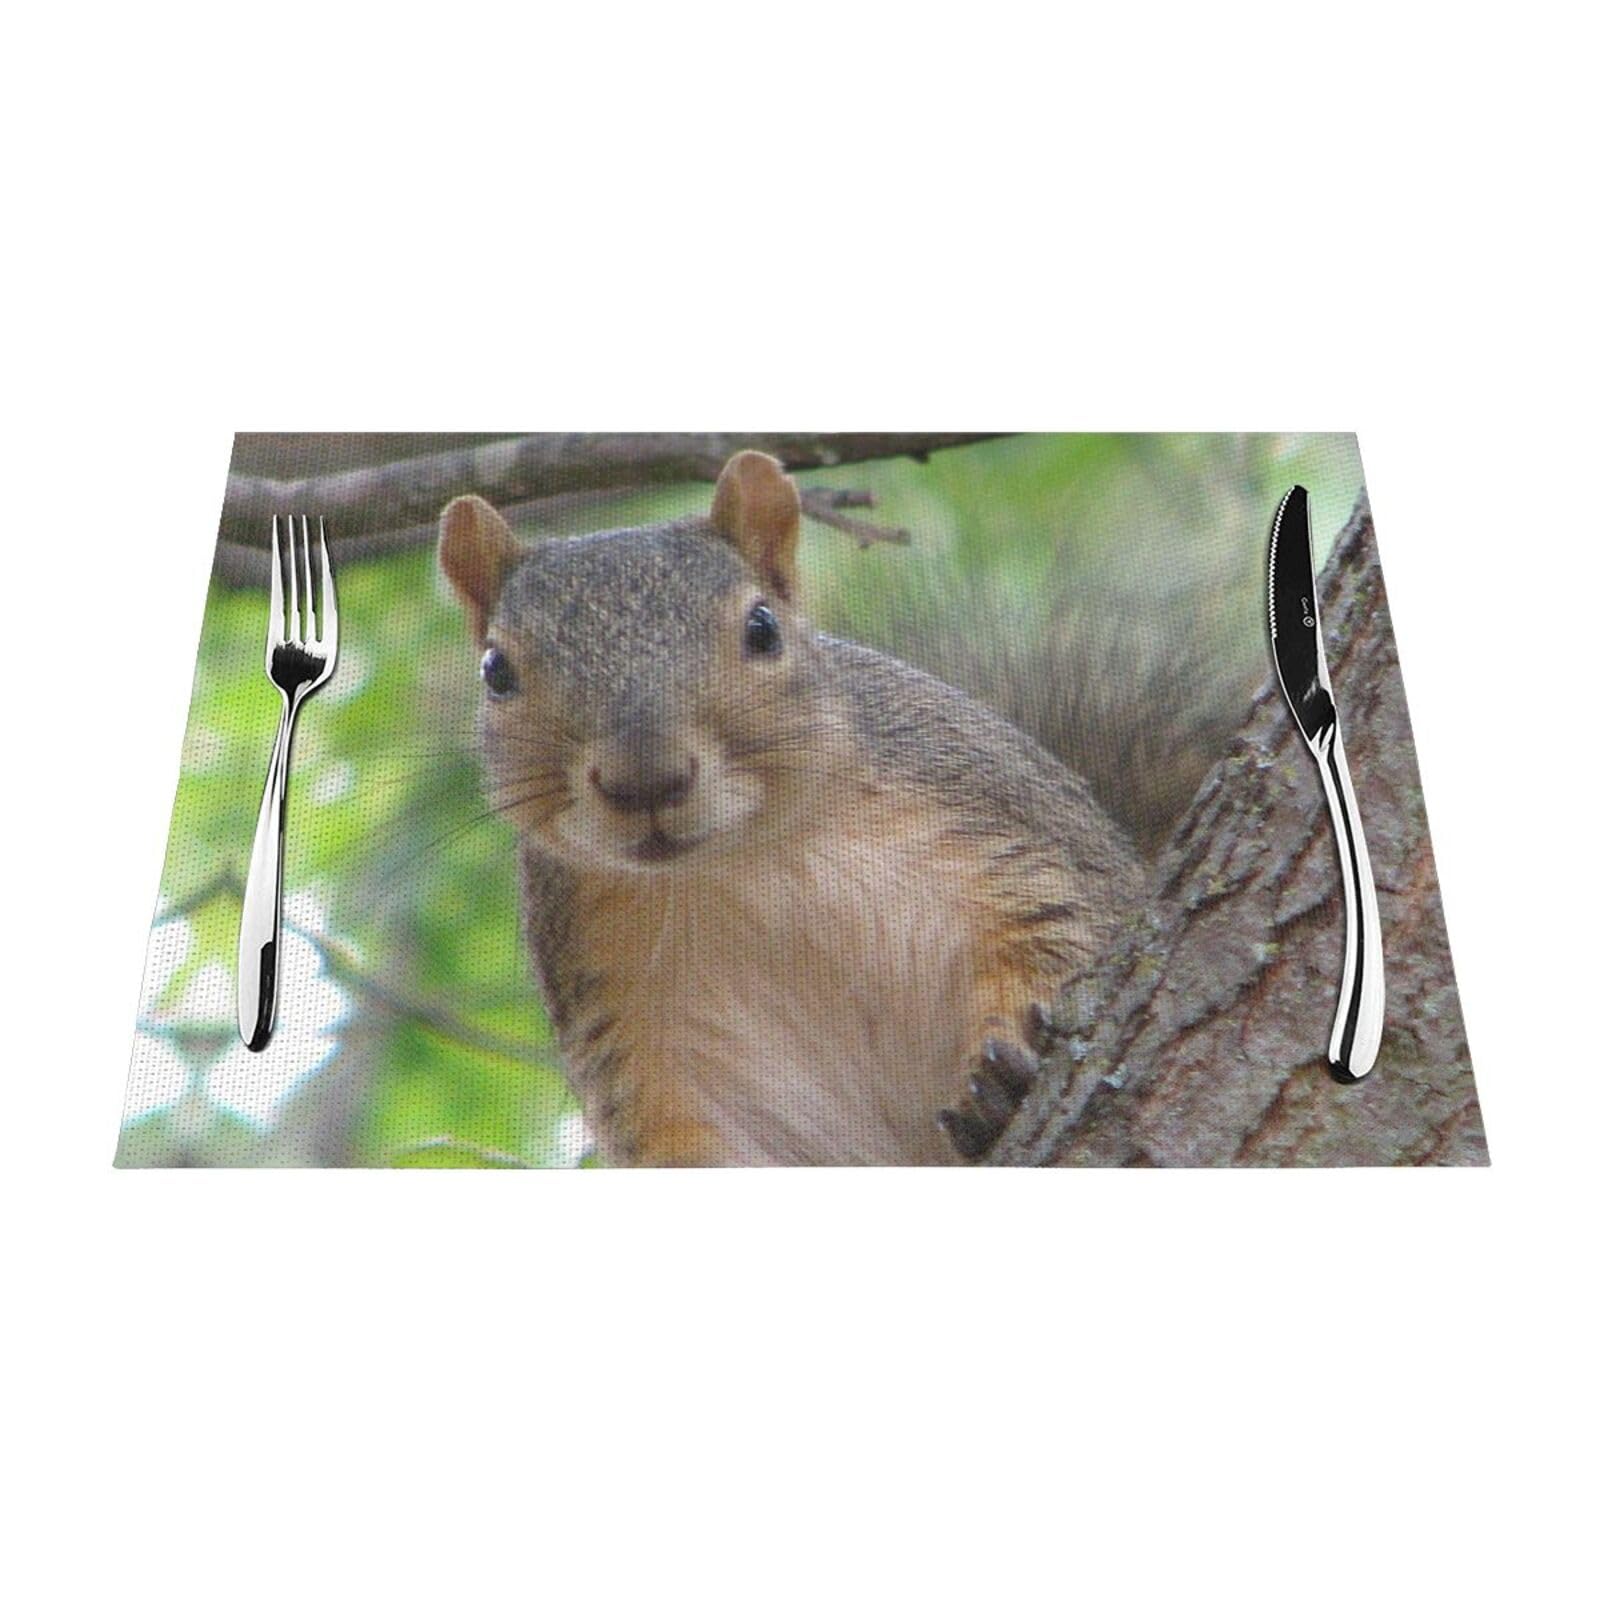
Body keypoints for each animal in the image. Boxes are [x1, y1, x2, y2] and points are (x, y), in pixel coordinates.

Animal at [438, 450, 1163, 1166]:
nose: (644, 780)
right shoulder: (629, 1021)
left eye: (762, 628)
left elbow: (1060, 934)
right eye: (496, 671)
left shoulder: (1004, 828)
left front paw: (1000, 1069)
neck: (749, 861)